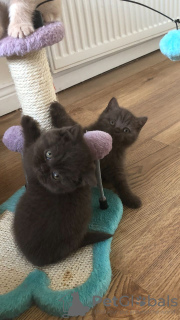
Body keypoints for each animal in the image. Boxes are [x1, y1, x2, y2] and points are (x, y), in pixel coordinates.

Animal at [13, 114, 111, 266]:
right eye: (49, 154)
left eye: (56, 175)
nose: (43, 169)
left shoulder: (29, 161)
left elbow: (29, 142)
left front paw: (27, 121)